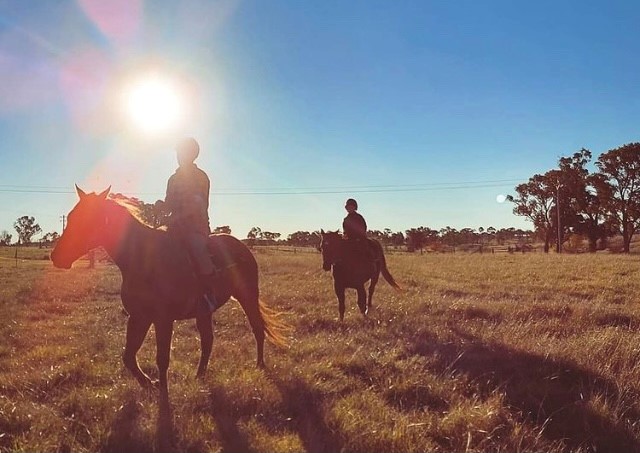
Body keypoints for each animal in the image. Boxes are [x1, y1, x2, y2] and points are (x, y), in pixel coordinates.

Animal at [51, 185, 286, 398]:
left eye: (89, 218)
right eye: (71, 216)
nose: (56, 256)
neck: (143, 259)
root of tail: (241, 246)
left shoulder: (163, 320)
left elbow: (162, 359)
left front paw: (162, 392)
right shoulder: (139, 317)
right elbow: (128, 357)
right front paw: (150, 384)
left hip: (247, 296)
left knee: (257, 329)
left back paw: (260, 365)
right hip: (204, 311)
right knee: (208, 341)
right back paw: (200, 376)